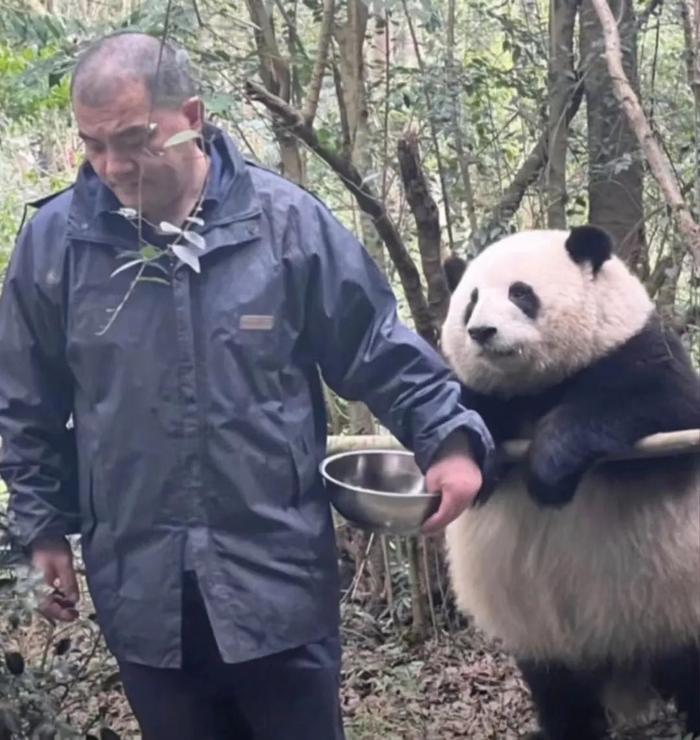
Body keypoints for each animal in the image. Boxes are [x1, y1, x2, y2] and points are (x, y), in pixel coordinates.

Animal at [440, 225, 696, 740]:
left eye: (520, 293)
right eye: (470, 301)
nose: (481, 332)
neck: (532, 390)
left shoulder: (637, 350)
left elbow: (657, 400)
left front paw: (548, 470)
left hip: (676, 598)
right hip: (544, 633)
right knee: (558, 689)